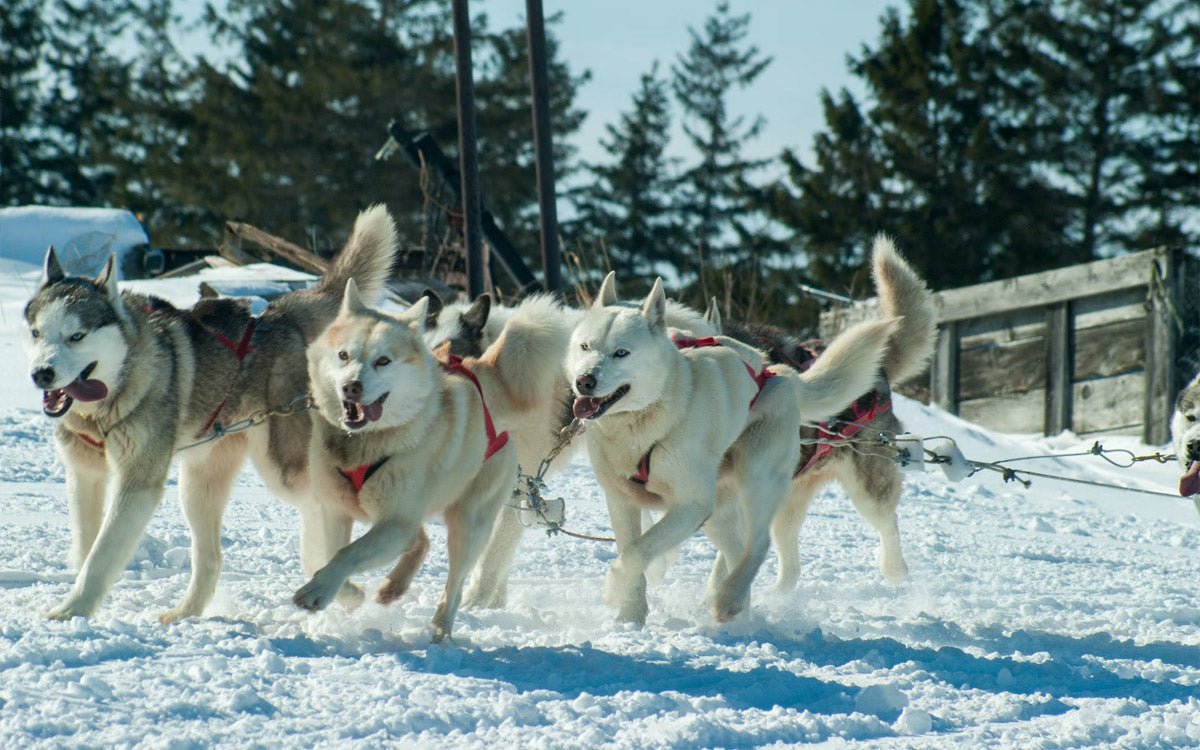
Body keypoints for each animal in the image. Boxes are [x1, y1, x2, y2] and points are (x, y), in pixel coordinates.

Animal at [23, 206, 398, 619]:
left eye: (77, 336)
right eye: (37, 333)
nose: (42, 374)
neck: (106, 403)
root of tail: (280, 314)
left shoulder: (137, 481)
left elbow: (101, 555)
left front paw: (70, 611)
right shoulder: (84, 475)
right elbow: (85, 551)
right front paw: (79, 604)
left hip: (282, 467)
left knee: (318, 505)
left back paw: (340, 585)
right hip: (198, 484)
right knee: (212, 558)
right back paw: (184, 613)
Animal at [296, 279, 576, 638]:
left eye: (383, 361)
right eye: (343, 355)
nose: (351, 387)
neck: (366, 443)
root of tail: (479, 373)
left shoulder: (396, 522)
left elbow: (348, 553)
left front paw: (318, 590)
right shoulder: (335, 511)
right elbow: (329, 555)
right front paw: (345, 592)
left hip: (468, 523)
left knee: (453, 585)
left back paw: (441, 631)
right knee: (422, 541)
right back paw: (394, 586)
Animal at [561, 272, 892, 624]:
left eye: (621, 352)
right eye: (585, 346)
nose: (584, 381)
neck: (642, 423)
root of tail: (776, 373)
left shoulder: (692, 505)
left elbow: (637, 552)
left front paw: (614, 589)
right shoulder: (621, 500)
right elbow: (632, 553)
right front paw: (630, 617)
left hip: (756, 481)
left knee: (757, 544)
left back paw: (730, 600)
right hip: (718, 512)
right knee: (735, 549)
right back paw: (739, 609)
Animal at [715, 236, 931, 588]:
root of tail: (878, 368)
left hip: (867, 486)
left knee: (888, 522)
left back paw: (894, 568)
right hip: (788, 499)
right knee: (790, 567)